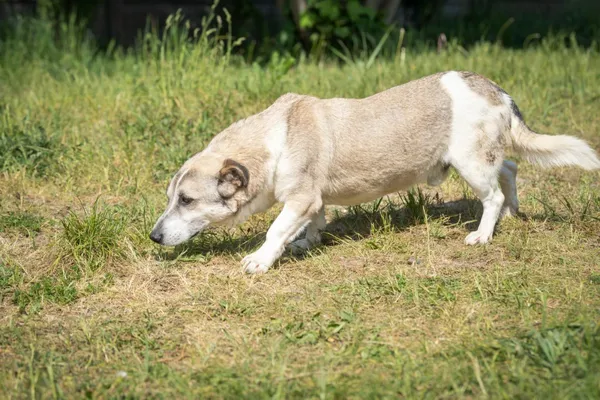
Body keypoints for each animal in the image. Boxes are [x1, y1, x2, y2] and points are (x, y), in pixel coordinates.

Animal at [150, 70, 600, 274]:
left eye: (187, 200)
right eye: (171, 197)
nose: (153, 237)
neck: (274, 138)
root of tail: (495, 88)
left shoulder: (299, 198)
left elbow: (276, 230)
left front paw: (261, 259)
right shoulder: (311, 198)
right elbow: (314, 220)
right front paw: (307, 241)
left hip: (471, 164)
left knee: (493, 195)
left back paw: (484, 233)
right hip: (484, 158)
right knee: (508, 168)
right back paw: (512, 212)